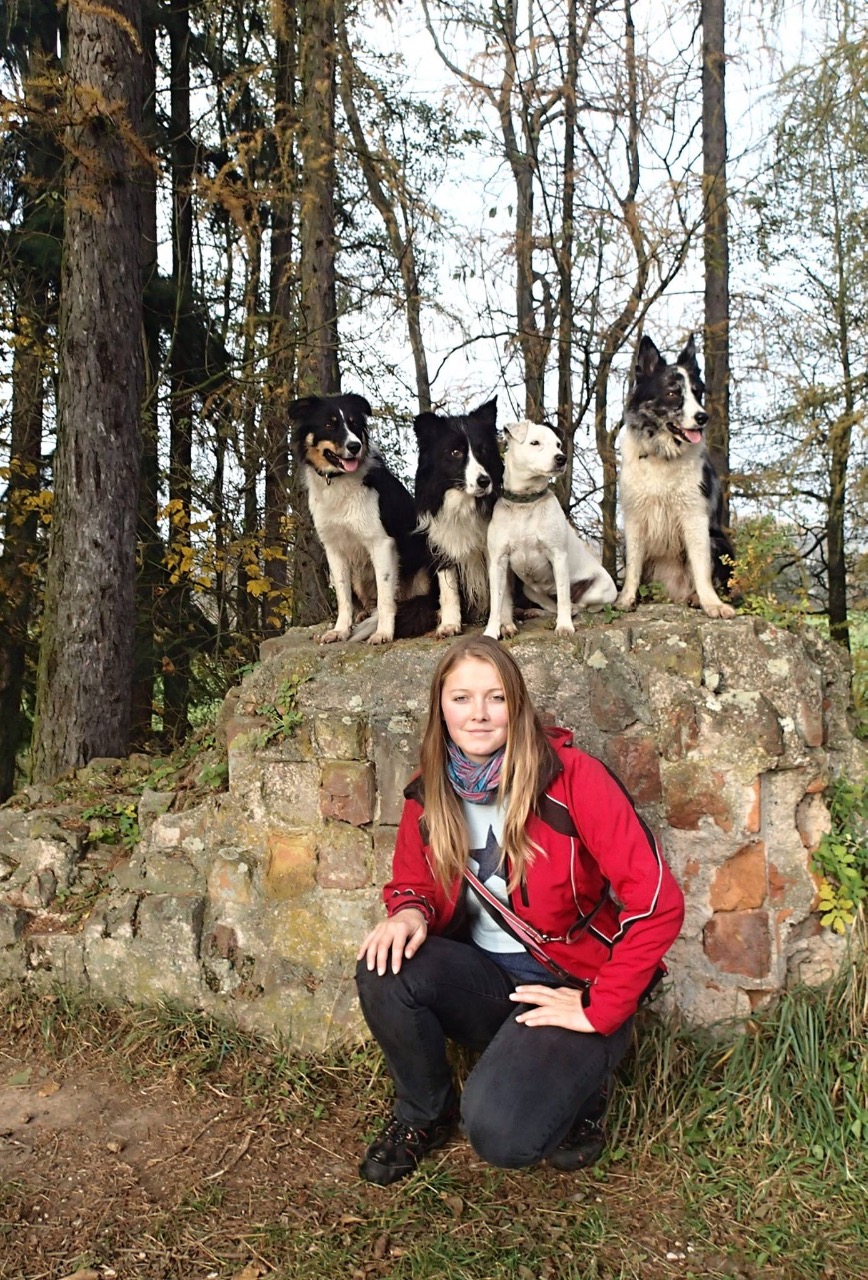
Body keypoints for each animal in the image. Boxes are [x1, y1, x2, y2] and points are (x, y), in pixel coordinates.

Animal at [289, 393, 434, 644]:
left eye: (354, 423)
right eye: (329, 425)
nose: (354, 446)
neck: (338, 481)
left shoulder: (381, 543)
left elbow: (385, 597)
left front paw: (383, 632)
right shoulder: (334, 549)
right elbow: (343, 595)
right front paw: (340, 630)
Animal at [413, 398, 503, 637]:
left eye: (483, 450)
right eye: (455, 452)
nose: (484, 481)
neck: (463, 503)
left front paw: (504, 623)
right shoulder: (442, 544)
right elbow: (448, 590)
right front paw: (449, 624)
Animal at [484, 419, 617, 639]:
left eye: (558, 445)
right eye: (535, 442)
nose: (561, 458)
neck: (526, 502)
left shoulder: (558, 556)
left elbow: (563, 595)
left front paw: (564, 626)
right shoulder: (499, 562)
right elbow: (497, 602)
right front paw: (492, 631)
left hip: (601, 589)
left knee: (576, 605)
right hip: (531, 591)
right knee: (551, 606)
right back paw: (533, 611)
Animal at [616, 335, 735, 620]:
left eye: (697, 392)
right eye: (672, 393)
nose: (703, 417)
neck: (662, 456)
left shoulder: (695, 516)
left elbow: (701, 568)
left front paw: (712, 604)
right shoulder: (635, 518)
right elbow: (633, 566)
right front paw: (627, 599)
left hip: (720, 542)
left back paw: (695, 598)